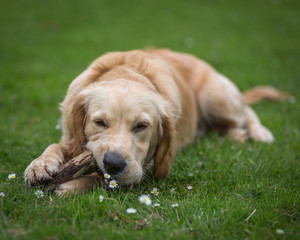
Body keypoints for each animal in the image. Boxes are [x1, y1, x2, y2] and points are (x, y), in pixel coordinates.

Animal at [24, 48, 286, 195]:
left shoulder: (142, 167)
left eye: (142, 126)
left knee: (246, 110)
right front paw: (40, 165)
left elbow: (105, 178)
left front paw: (71, 185)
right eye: (99, 123)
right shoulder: (70, 136)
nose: (114, 164)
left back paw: (259, 133)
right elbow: (56, 146)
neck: (127, 70)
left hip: (217, 98)